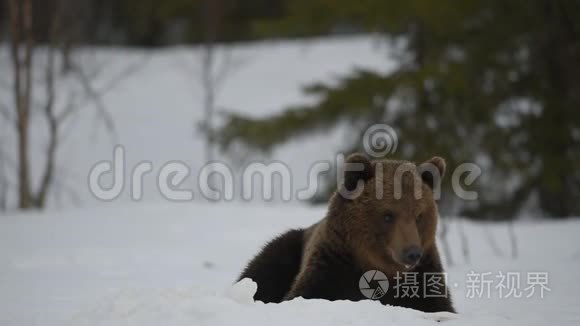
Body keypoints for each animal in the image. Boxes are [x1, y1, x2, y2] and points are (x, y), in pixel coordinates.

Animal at [238, 154, 456, 312]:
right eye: (388, 215)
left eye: (419, 216)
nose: (412, 253)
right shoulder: (332, 267)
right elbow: (304, 293)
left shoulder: (425, 277)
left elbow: (440, 306)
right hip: (287, 248)